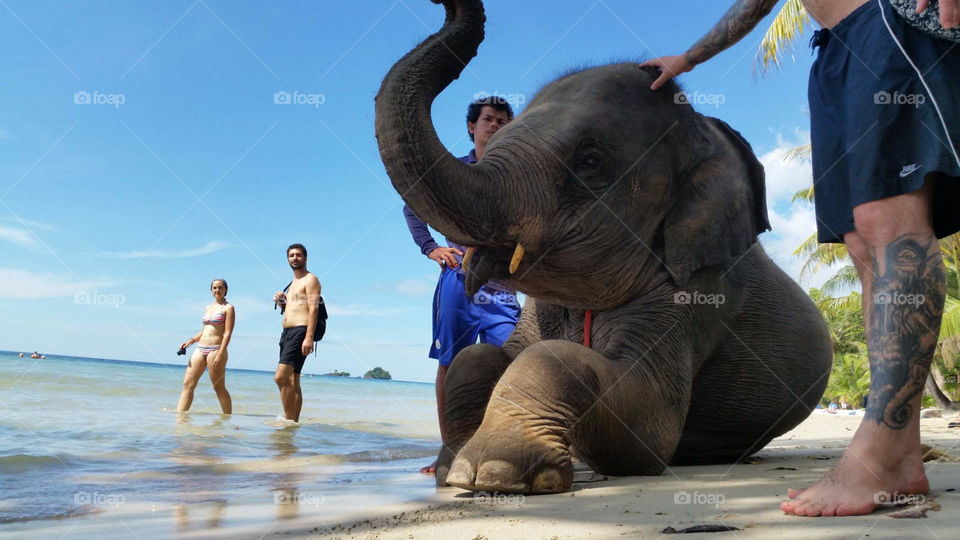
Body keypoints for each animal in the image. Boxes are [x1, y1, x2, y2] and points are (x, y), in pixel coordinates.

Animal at [375, 0, 833, 494]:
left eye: (591, 161)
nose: (446, 6)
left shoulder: (701, 298)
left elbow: (647, 426)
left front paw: (498, 473)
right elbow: (474, 359)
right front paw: (450, 471)